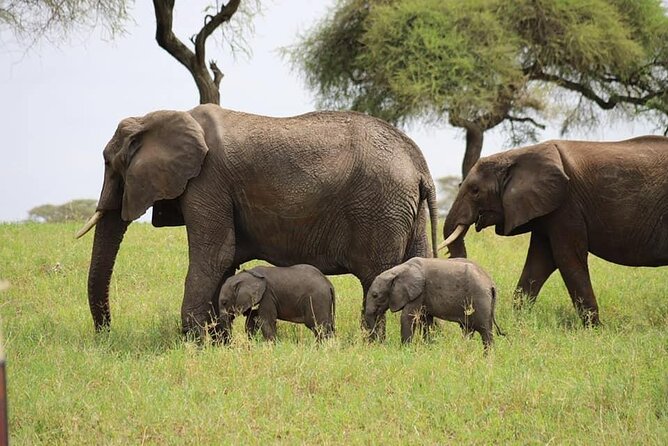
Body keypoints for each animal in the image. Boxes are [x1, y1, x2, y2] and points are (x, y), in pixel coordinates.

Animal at [76, 104, 438, 339]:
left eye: (110, 163)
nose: (105, 334)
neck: (158, 116)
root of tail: (420, 165)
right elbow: (223, 263)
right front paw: (217, 343)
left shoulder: (207, 181)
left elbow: (215, 255)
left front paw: (193, 343)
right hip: (406, 210)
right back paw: (424, 345)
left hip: (380, 206)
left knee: (374, 276)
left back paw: (372, 345)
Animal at [364, 257, 502, 350]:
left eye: (375, 295)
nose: (379, 344)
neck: (398, 270)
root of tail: (491, 284)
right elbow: (425, 320)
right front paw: (428, 347)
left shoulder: (419, 292)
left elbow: (407, 317)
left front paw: (405, 349)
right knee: (468, 330)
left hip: (480, 300)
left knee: (485, 331)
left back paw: (487, 358)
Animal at [441, 135, 668, 325]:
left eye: (475, 191)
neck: (515, 155)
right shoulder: (546, 210)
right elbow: (539, 262)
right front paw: (518, 321)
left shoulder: (567, 204)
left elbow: (566, 258)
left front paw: (595, 329)